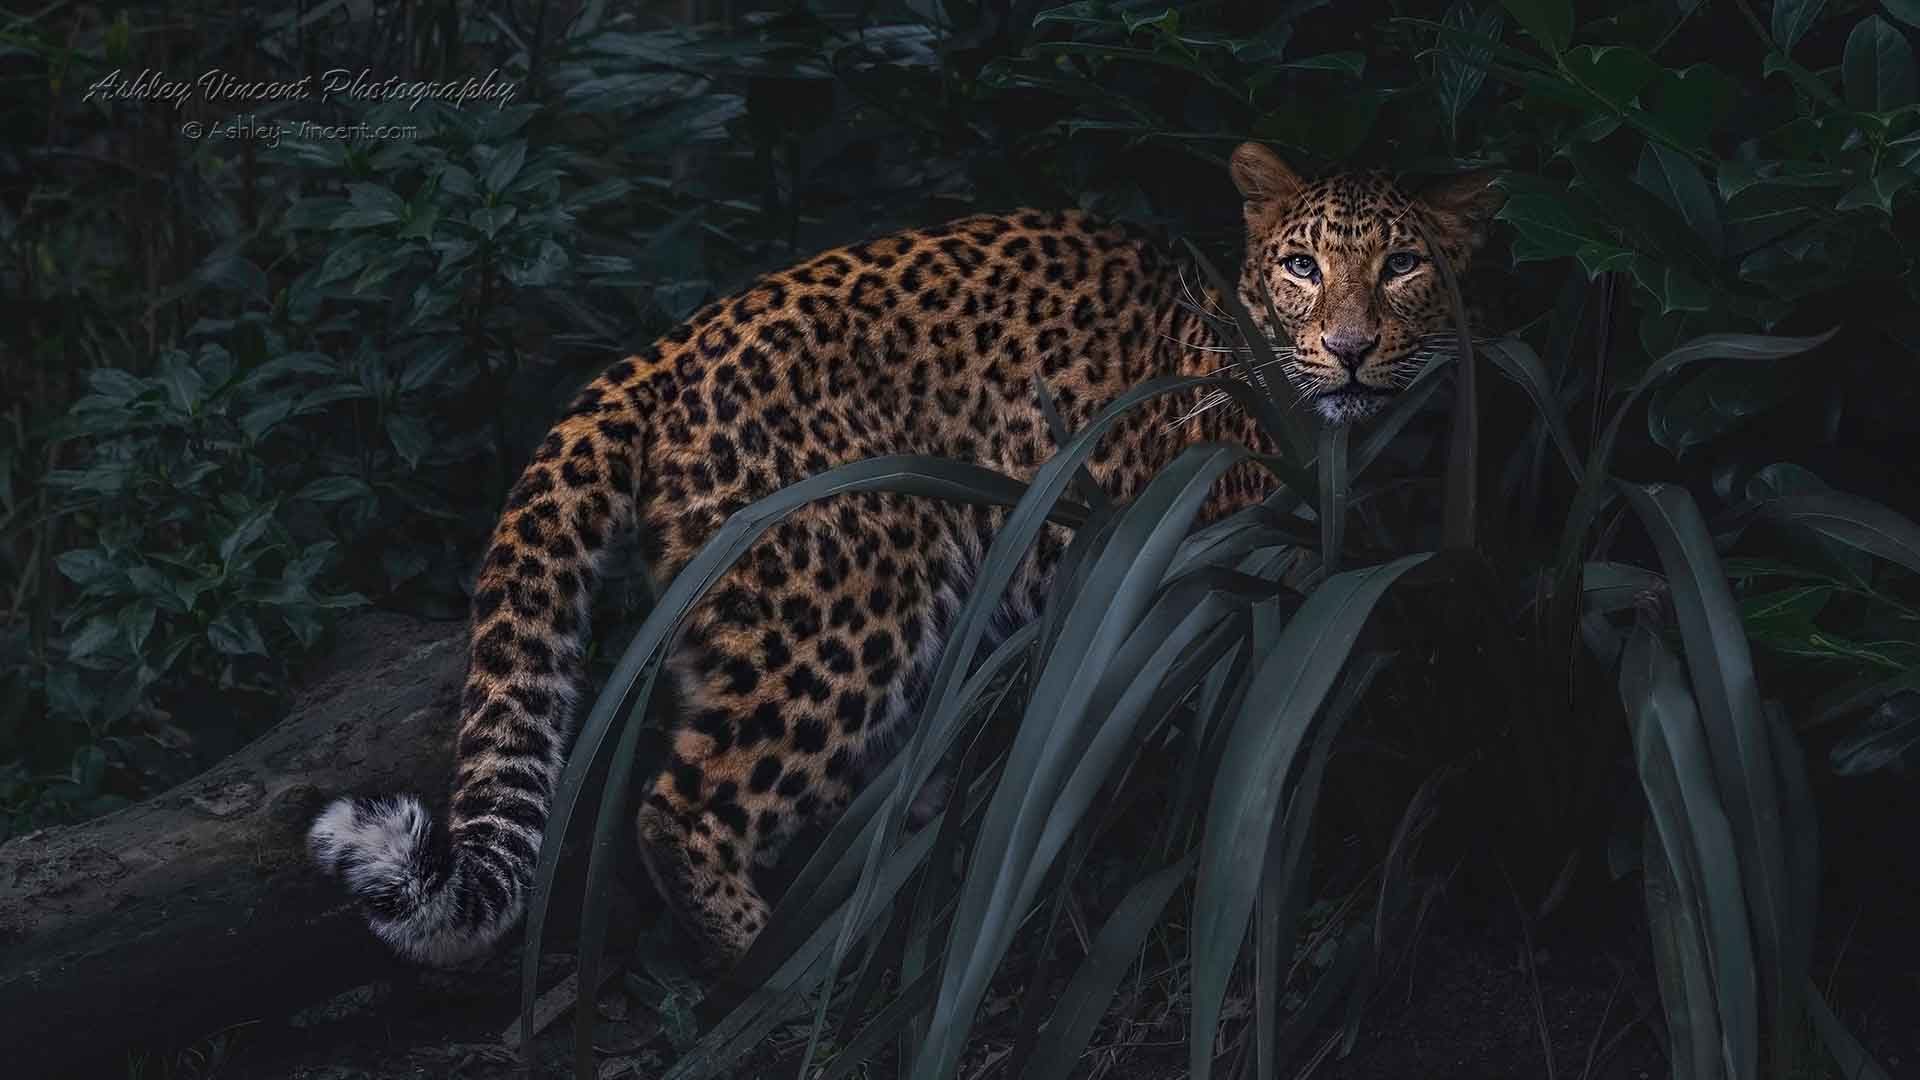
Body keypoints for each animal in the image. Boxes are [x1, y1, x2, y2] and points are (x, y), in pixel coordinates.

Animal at [307, 142, 1504, 971]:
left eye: (1404, 265)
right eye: (1304, 266)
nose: (1349, 349)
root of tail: (663, 353)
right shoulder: (1206, 579)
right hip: (846, 610)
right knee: (685, 808)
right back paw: (781, 967)